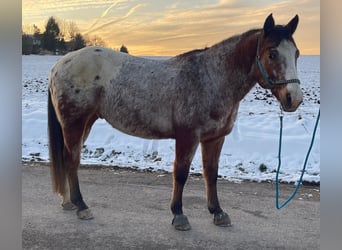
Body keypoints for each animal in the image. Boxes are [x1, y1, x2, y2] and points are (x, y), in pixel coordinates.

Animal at [47, 14, 302, 230]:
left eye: (297, 53)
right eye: (272, 54)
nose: (294, 98)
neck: (211, 78)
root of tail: (60, 64)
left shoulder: (215, 138)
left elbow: (211, 173)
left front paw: (217, 212)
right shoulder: (188, 137)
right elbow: (180, 173)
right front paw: (179, 214)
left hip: (86, 122)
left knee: (69, 159)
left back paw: (68, 202)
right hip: (75, 123)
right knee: (72, 160)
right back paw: (81, 206)